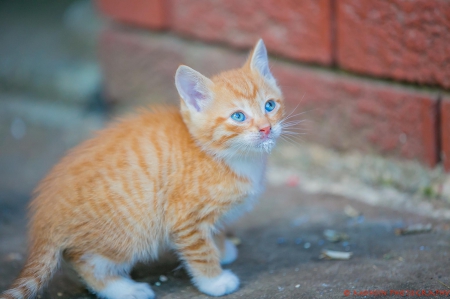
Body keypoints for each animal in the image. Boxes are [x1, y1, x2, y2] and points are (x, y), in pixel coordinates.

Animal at [1, 40, 286, 299]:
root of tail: (43, 219)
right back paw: (125, 289)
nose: (266, 128)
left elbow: (215, 232)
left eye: (270, 106)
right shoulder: (184, 219)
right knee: (83, 261)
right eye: (238, 116)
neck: (231, 157)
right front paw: (215, 281)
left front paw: (223, 249)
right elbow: (201, 253)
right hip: (130, 233)